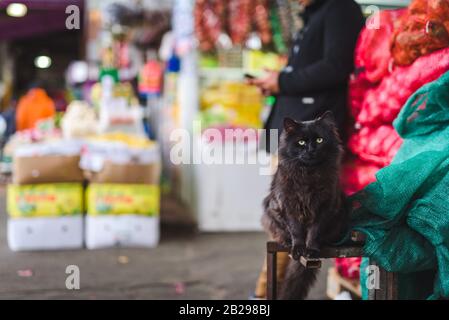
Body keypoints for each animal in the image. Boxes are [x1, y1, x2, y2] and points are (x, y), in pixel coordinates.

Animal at [260, 111, 348, 298]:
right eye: (301, 142)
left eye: (320, 140)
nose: (311, 149)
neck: (309, 173)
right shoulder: (288, 205)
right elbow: (296, 231)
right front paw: (298, 249)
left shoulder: (325, 207)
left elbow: (314, 232)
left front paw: (311, 250)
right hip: (269, 214)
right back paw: (287, 242)